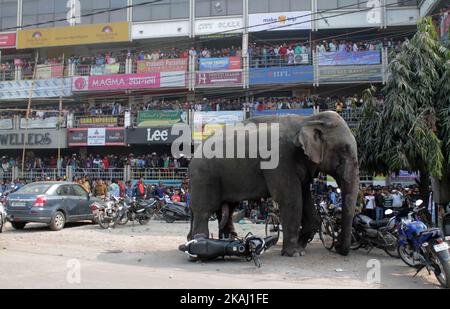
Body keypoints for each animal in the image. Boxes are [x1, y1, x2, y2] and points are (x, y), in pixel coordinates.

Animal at [186, 110, 358, 255]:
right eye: (344, 149)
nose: (337, 246)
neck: (308, 119)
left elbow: (305, 199)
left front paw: (301, 248)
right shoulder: (280, 159)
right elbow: (289, 200)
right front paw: (294, 253)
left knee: (226, 209)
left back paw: (228, 239)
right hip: (203, 176)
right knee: (204, 211)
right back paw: (199, 242)